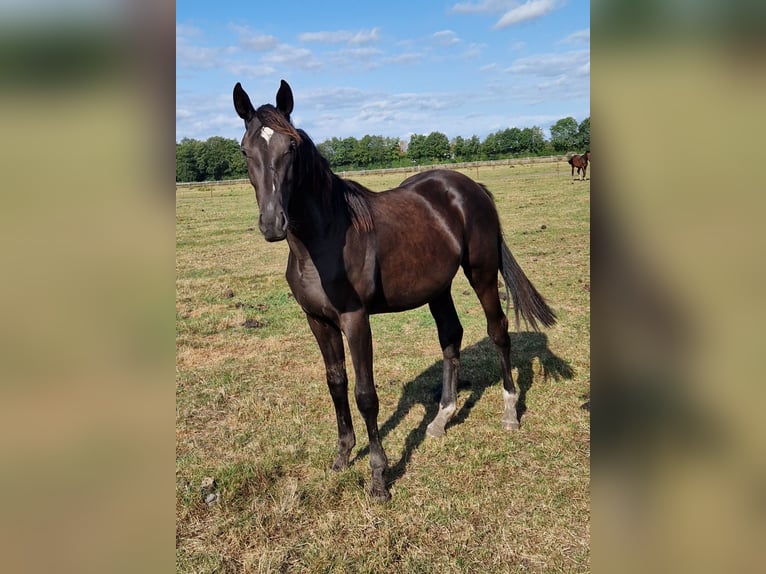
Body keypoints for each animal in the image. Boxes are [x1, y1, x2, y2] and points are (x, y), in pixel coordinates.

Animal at [233, 80, 557, 501]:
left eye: (291, 146)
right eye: (245, 150)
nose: (273, 223)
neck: (324, 241)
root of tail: (471, 187)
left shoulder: (355, 319)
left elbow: (365, 394)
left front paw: (378, 477)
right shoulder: (317, 321)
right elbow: (336, 384)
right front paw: (342, 457)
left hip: (482, 273)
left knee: (498, 331)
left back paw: (509, 412)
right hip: (438, 287)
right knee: (451, 337)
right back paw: (441, 419)